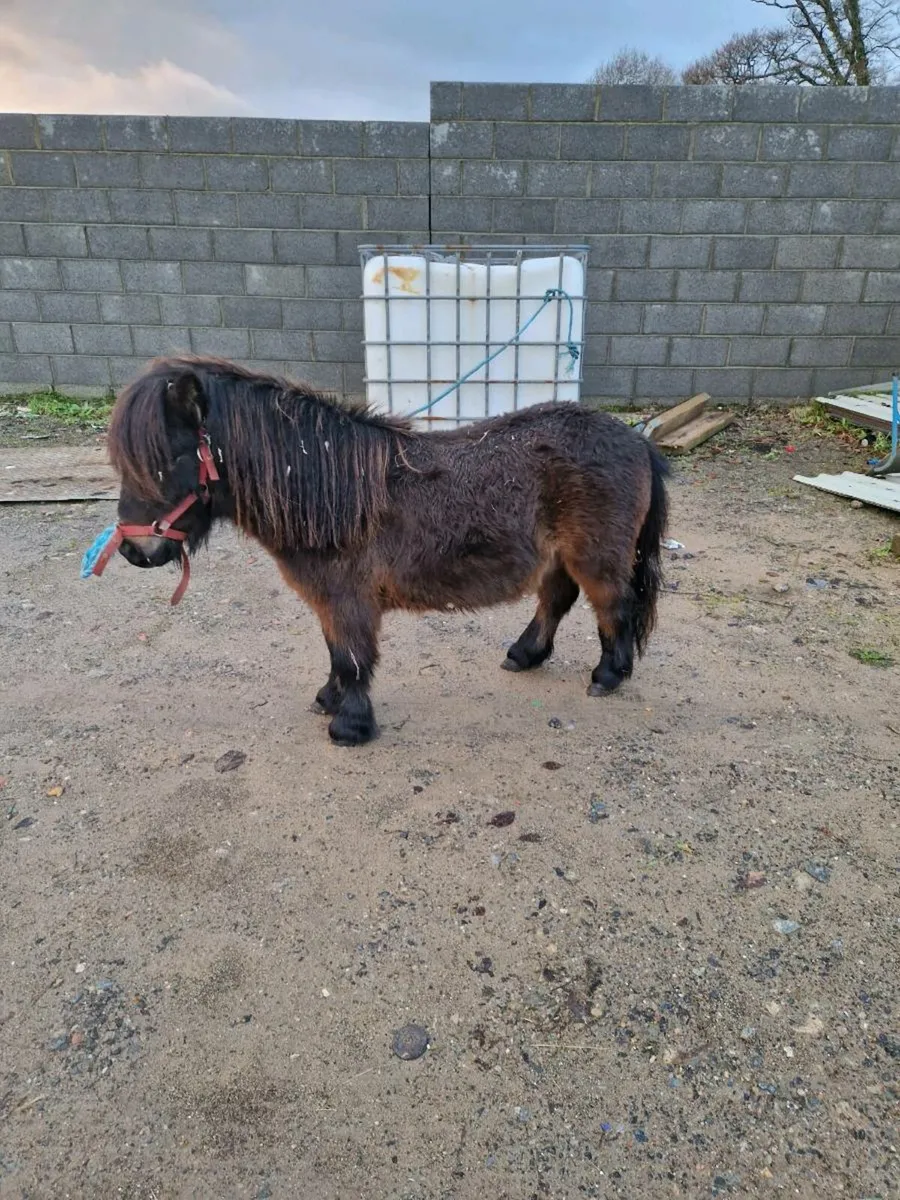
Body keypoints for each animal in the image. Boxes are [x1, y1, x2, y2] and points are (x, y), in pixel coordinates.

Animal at [104, 355, 669, 747]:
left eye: (169, 459)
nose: (134, 550)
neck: (328, 488)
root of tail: (637, 440)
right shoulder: (331, 601)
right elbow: (336, 653)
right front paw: (329, 701)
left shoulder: (348, 599)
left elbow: (353, 658)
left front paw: (350, 726)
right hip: (560, 557)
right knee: (557, 600)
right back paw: (524, 655)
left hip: (596, 557)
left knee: (613, 607)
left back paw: (608, 676)